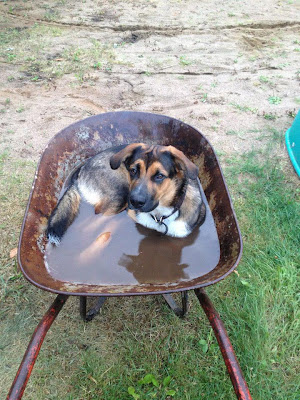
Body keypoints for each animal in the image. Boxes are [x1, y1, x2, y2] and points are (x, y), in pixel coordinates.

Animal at [46, 142, 206, 245]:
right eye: (133, 170)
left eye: (160, 176)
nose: (134, 201)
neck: (159, 216)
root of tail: (79, 173)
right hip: (119, 195)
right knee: (87, 225)